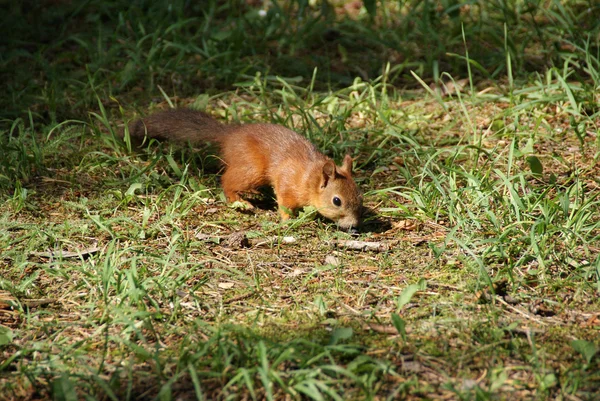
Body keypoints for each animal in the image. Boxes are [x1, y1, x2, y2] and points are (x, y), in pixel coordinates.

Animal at [129, 108, 364, 228]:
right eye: (336, 201)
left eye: (360, 197)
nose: (354, 226)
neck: (310, 178)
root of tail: (229, 135)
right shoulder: (287, 182)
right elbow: (285, 203)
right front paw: (288, 220)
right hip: (252, 169)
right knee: (227, 182)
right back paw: (241, 202)